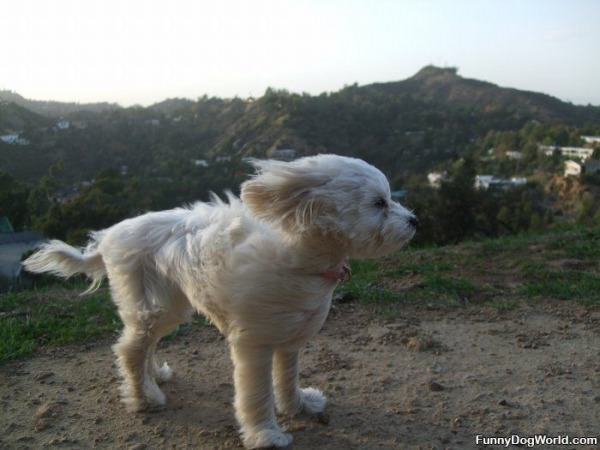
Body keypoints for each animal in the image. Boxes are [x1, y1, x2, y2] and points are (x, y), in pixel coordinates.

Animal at [24, 153, 418, 448]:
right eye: (379, 203)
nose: (415, 220)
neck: (301, 259)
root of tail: (107, 237)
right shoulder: (253, 345)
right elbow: (257, 394)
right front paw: (266, 434)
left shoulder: (290, 341)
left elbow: (286, 379)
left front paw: (299, 406)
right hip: (153, 306)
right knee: (129, 349)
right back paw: (142, 398)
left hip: (170, 307)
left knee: (144, 345)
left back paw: (154, 380)